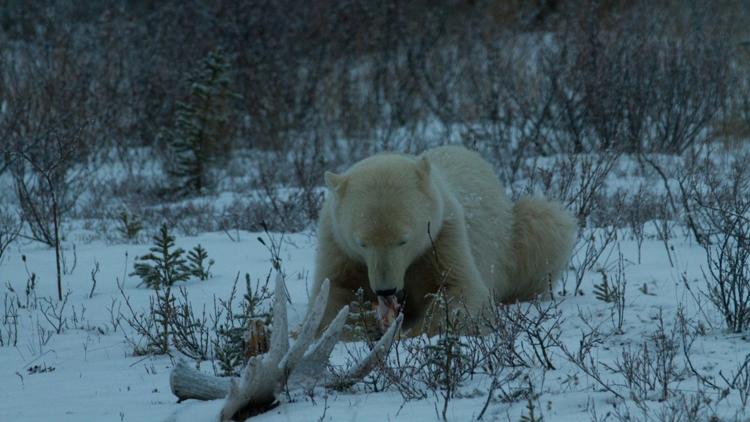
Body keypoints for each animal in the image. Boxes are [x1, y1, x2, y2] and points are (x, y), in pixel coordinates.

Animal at [308, 145, 580, 336]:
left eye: (403, 241)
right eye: (362, 243)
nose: (386, 289)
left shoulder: (441, 237)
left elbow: (460, 290)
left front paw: (412, 332)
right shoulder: (337, 242)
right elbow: (336, 290)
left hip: (510, 237)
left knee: (543, 225)